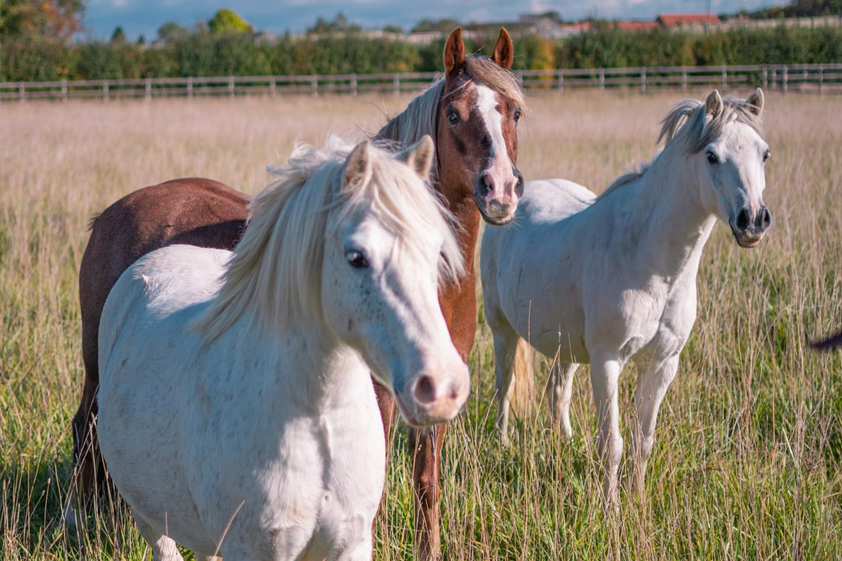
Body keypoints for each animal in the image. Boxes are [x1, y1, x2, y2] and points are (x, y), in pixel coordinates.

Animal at [97, 136, 469, 561]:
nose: (442, 387)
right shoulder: (254, 548)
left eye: (435, 251)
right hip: (152, 520)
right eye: (357, 257)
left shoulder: (352, 542)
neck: (319, 418)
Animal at [481, 89, 771, 504]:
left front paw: (639, 500)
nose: (753, 221)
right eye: (712, 156)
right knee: (504, 388)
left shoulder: (663, 364)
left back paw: (566, 441)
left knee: (558, 391)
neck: (651, 262)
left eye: (764, 154)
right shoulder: (608, 361)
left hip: (566, 344)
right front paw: (612, 509)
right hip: (502, 330)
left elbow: (642, 441)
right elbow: (613, 444)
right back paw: (503, 445)